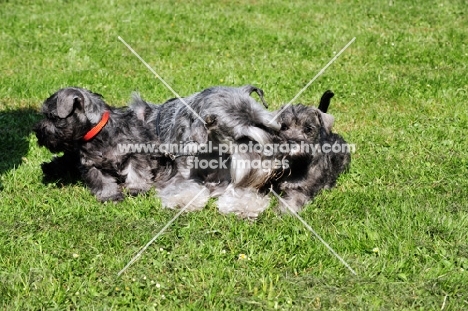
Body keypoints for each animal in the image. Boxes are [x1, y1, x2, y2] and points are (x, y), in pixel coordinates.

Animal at [34, 87, 172, 202]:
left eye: (53, 117)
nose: (37, 132)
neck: (99, 133)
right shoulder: (92, 165)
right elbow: (102, 182)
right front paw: (110, 196)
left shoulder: (135, 154)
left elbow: (136, 173)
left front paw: (136, 189)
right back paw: (48, 168)